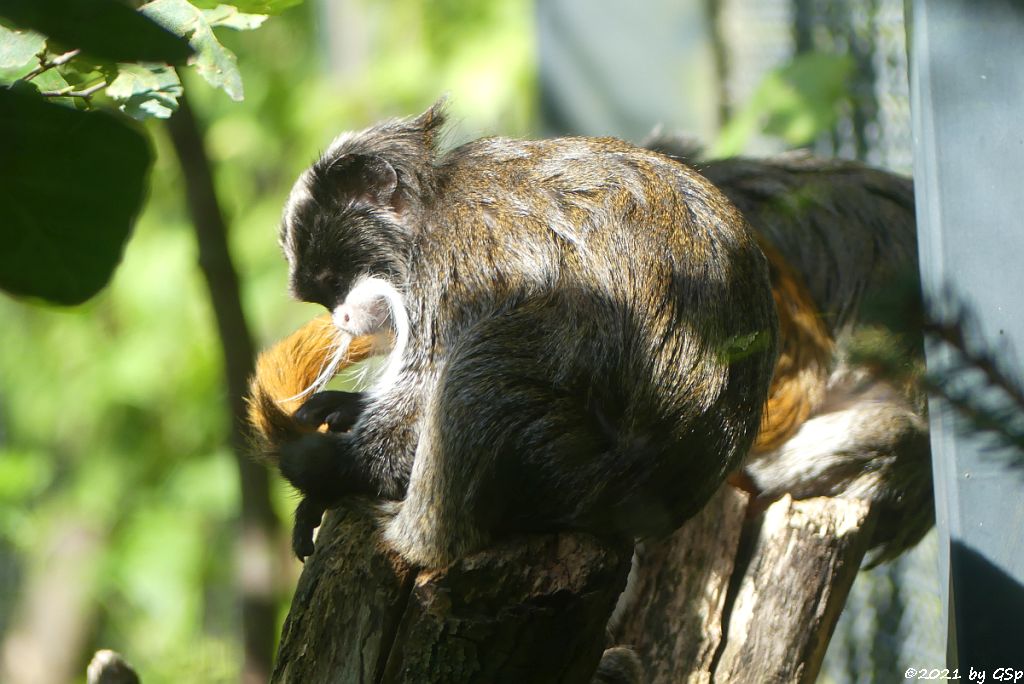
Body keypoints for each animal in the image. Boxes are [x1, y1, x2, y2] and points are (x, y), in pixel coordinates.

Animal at [245, 100, 774, 561]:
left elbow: (427, 390)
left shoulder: (465, 261)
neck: (431, 212)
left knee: (488, 364)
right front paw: (346, 411)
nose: (341, 318)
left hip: (569, 466)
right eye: (326, 296)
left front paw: (329, 466)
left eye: (335, 283)